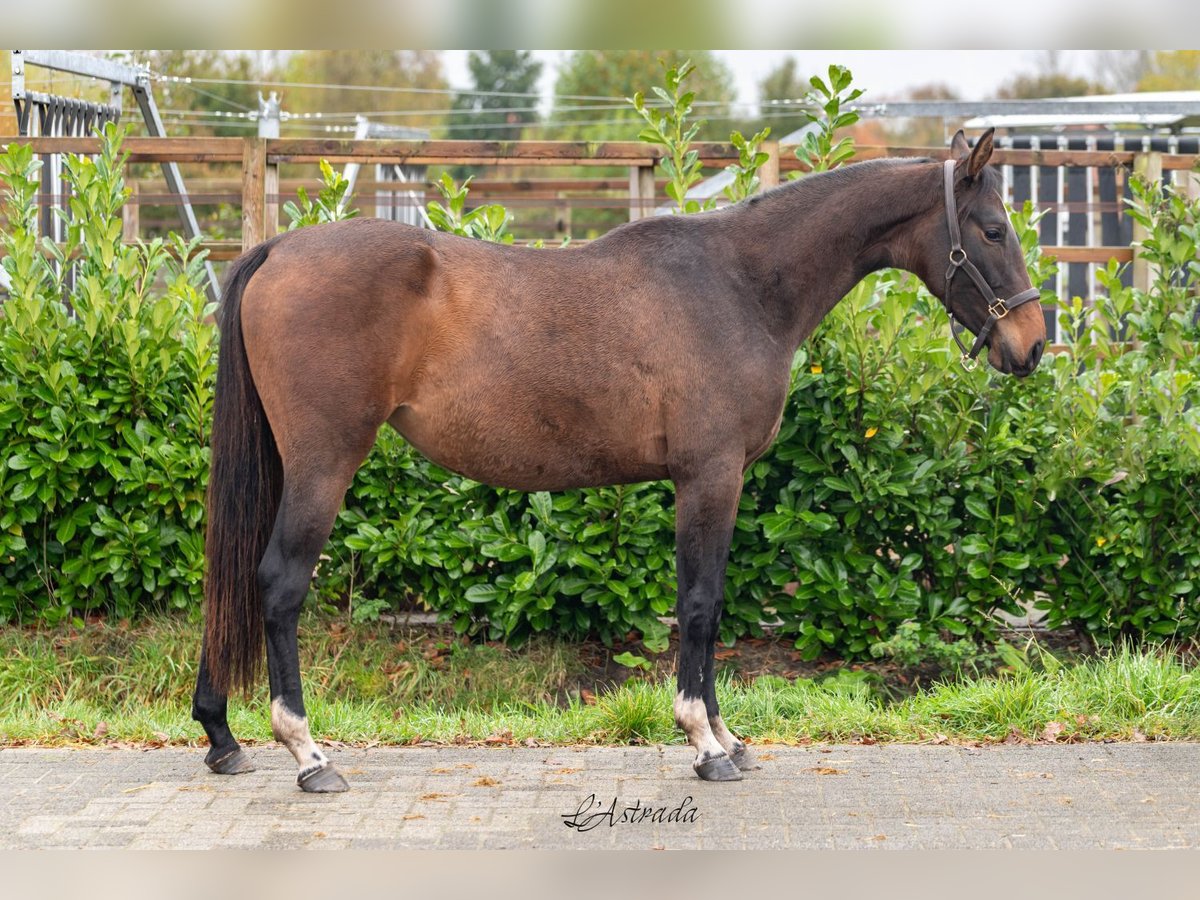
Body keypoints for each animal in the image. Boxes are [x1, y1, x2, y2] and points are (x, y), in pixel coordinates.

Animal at [192, 128, 1046, 796]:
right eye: (992, 230)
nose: (1032, 346)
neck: (741, 284)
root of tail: (277, 248)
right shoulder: (710, 476)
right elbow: (699, 604)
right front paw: (704, 744)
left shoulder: (709, 482)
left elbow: (710, 604)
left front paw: (727, 737)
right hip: (323, 465)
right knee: (278, 585)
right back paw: (308, 755)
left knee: (232, 577)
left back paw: (222, 738)